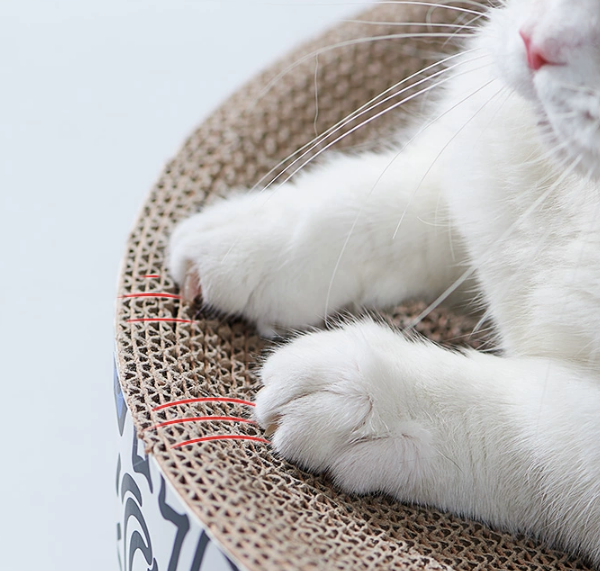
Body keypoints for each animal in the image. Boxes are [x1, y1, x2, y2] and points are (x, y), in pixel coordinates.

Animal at [168, 0, 600, 565]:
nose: (533, 44)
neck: (574, 197)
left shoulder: (578, 442)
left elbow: (540, 432)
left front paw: (370, 399)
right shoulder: (478, 179)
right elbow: (397, 204)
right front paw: (261, 233)